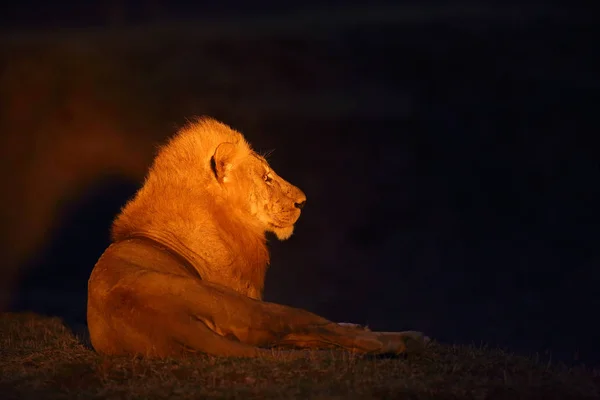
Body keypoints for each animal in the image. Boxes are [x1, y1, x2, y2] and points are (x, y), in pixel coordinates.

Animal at [88, 116, 426, 356]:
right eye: (266, 178)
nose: (302, 202)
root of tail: (164, 320)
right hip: (245, 305)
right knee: (305, 326)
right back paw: (401, 340)